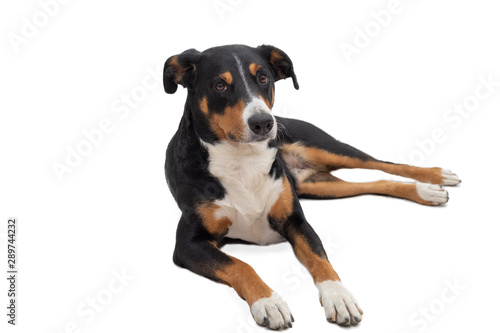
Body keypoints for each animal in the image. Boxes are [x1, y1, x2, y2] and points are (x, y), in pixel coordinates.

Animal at [164, 44, 460, 330]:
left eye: (263, 78)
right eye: (219, 85)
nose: (263, 122)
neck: (243, 161)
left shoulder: (295, 220)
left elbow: (320, 258)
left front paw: (339, 297)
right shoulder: (188, 244)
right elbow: (240, 264)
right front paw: (268, 302)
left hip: (329, 148)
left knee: (383, 164)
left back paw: (433, 179)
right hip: (321, 186)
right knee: (374, 182)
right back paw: (426, 190)